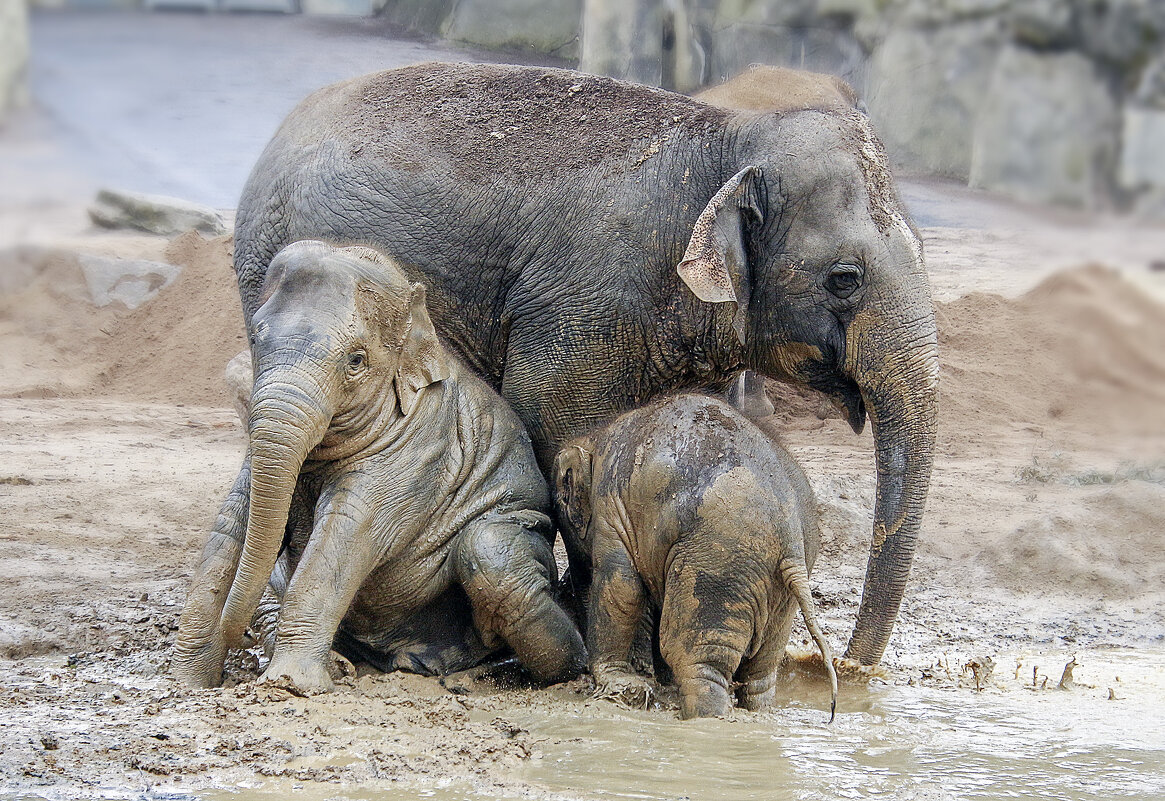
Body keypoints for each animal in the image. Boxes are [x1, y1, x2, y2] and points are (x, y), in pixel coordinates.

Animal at [175, 239, 587, 693]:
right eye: (254, 337)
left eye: (356, 360)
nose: (235, 634)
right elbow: (231, 522)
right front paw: (189, 681)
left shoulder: (420, 445)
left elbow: (347, 533)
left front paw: (290, 685)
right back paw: (344, 665)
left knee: (489, 554)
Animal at [549, 393, 834, 721]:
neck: (596, 436)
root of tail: (791, 536)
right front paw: (658, 682)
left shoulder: (611, 504)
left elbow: (622, 587)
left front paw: (617, 683)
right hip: (780, 590)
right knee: (761, 671)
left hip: (718, 563)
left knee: (698, 659)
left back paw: (704, 718)